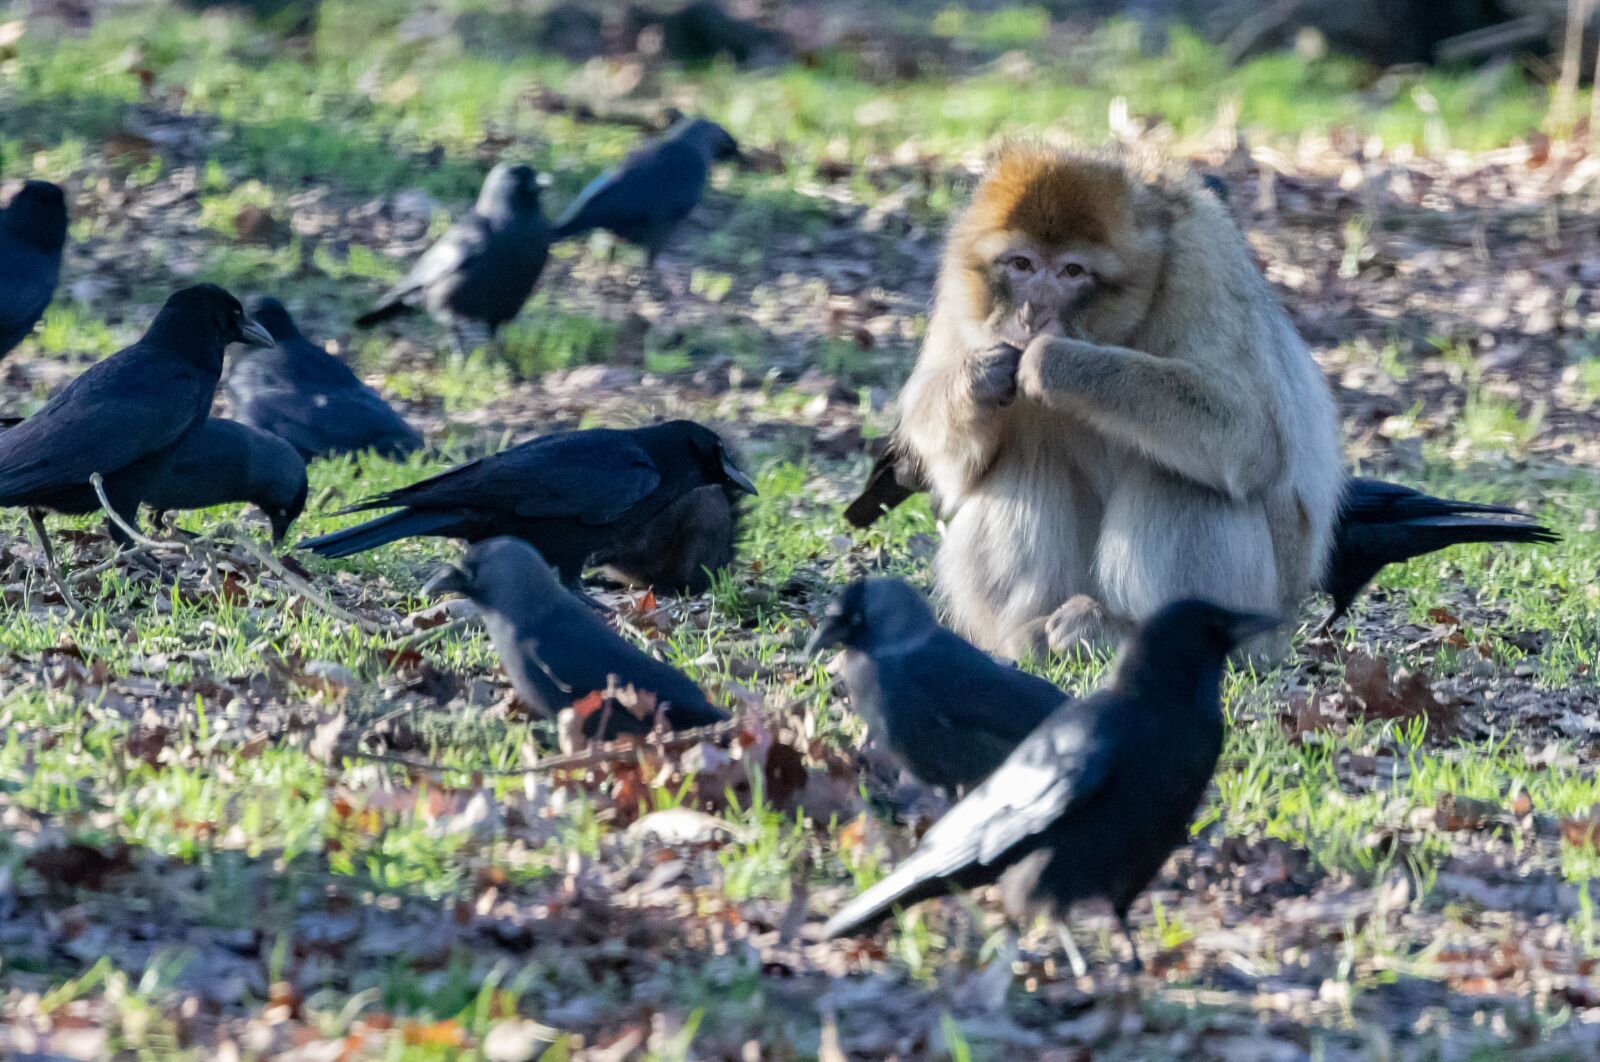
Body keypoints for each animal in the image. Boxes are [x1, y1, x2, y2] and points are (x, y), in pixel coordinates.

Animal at [894, 143, 1343, 658]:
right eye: (1022, 264)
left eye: (1072, 271)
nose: (1033, 312)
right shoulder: (960, 295)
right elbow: (958, 473)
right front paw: (980, 378)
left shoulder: (1200, 268)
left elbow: (1250, 436)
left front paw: (1055, 362)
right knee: (1026, 457)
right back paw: (1032, 630)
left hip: (1259, 624)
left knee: (1186, 478)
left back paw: (1127, 629)